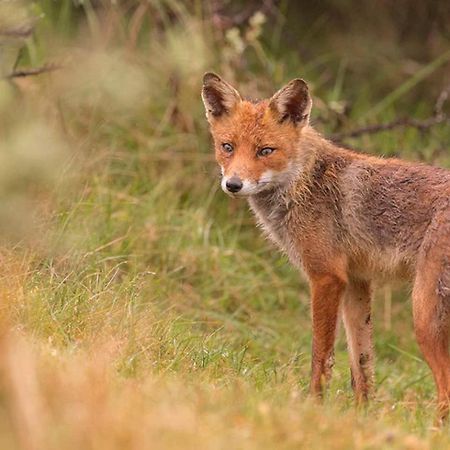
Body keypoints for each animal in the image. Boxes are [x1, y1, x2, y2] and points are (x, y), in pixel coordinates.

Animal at [201, 72, 450, 420]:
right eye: (228, 147)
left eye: (265, 150)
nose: (233, 184)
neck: (305, 183)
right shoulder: (357, 282)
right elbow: (362, 367)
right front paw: (361, 418)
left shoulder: (326, 277)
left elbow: (322, 357)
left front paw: (313, 408)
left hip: (424, 316)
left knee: (446, 390)